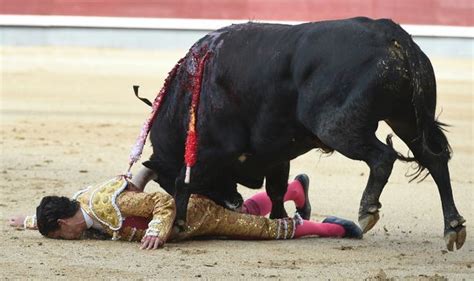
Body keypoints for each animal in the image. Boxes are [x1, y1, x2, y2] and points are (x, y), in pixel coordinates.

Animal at [142, 17, 466, 249]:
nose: (235, 204)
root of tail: (391, 33)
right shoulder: (275, 151)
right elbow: (276, 188)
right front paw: (280, 219)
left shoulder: (211, 150)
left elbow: (184, 181)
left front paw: (179, 223)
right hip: (406, 119)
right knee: (435, 160)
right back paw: (452, 227)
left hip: (338, 127)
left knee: (383, 157)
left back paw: (367, 210)